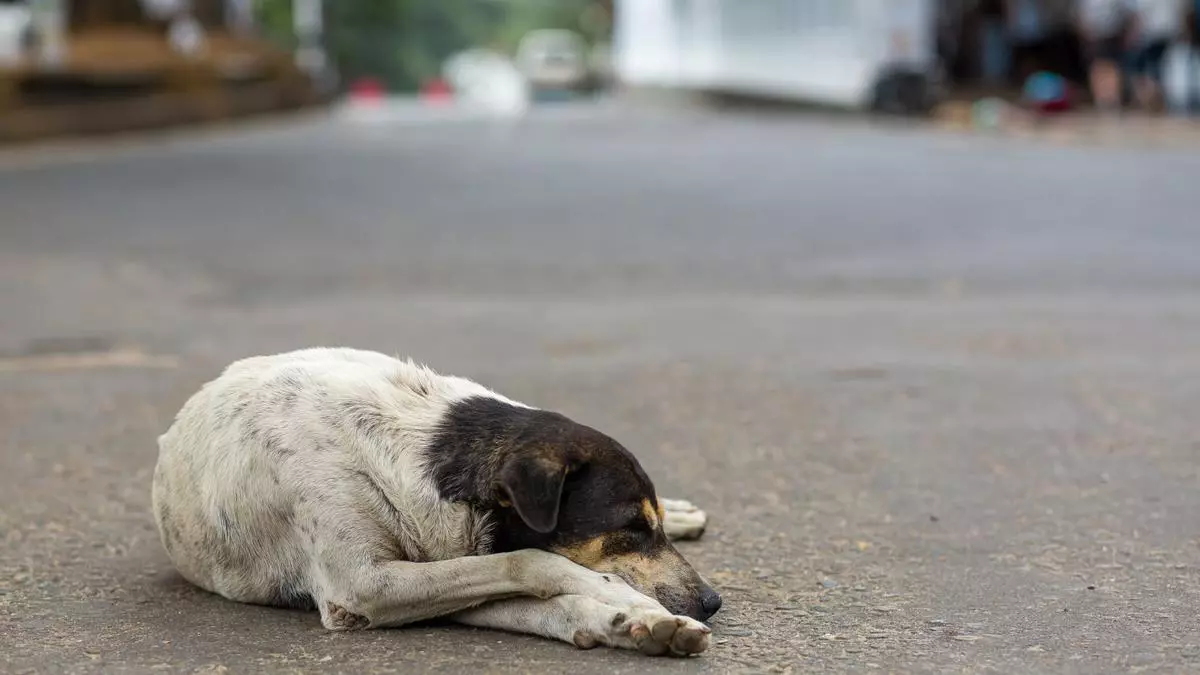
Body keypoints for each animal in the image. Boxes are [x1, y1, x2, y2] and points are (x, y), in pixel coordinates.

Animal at [156, 345, 724, 653]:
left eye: (646, 525)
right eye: (630, 528)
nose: (711, 602)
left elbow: (538, 592)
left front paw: (640, 623)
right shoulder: (363, 588)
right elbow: (533, 563)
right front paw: (623, 602)